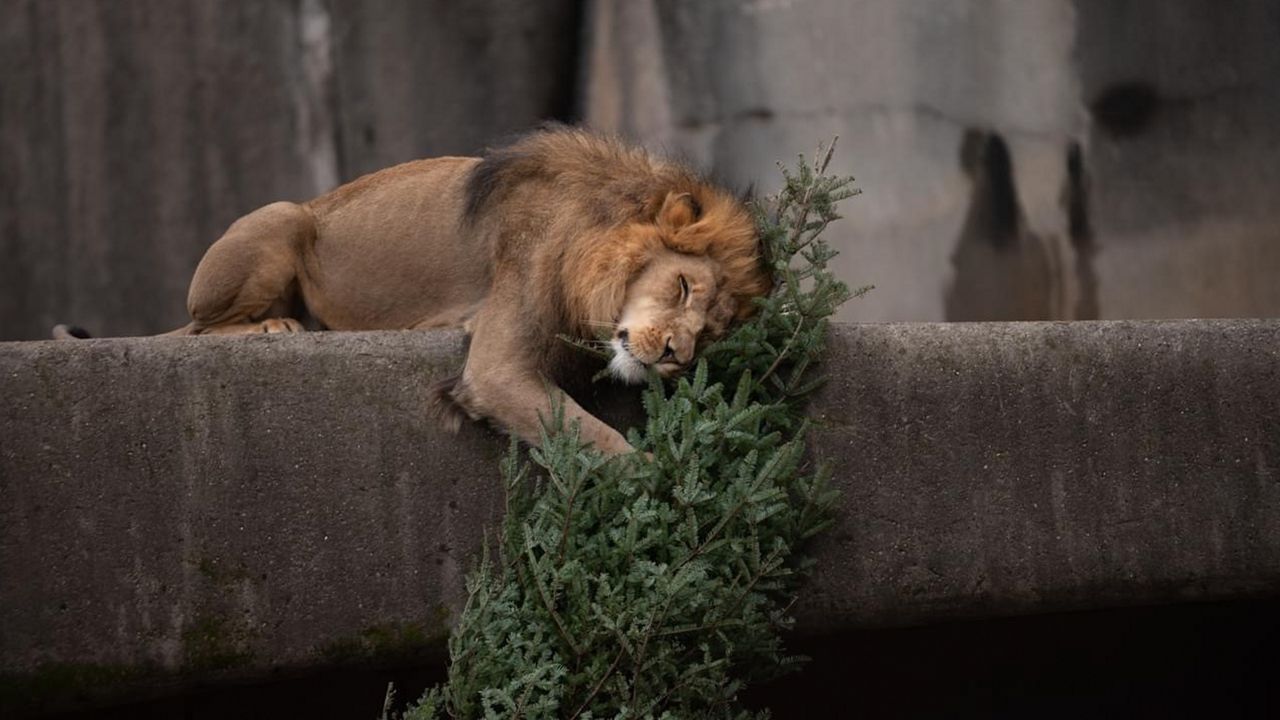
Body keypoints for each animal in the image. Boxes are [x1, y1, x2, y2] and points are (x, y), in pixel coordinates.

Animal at [60, 127, 768, 453]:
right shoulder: (495, 371)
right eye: (681, 286)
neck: (590, 226)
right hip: (286, 215)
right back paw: (276, 327)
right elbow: (601, 440)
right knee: (208, 327)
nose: (676, 356)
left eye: (709, 332)